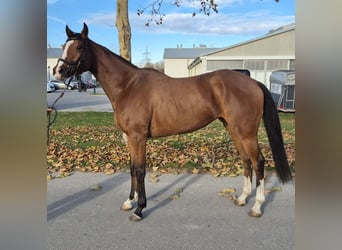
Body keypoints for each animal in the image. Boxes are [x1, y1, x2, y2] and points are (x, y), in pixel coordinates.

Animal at [52, 23, 292, 222]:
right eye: (64, 45)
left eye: (80, 46)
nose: (58, 71)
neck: (128, 86)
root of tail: (253, 82)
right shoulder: (130, 138)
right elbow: (131, 169)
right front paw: (129, 202)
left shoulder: (138, 138)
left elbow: (140, 170)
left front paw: (139, 209)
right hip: (233, 129)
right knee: (246, 160)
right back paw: (242, 198)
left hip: (246, 132)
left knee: (258, 161)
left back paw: (257, 206)